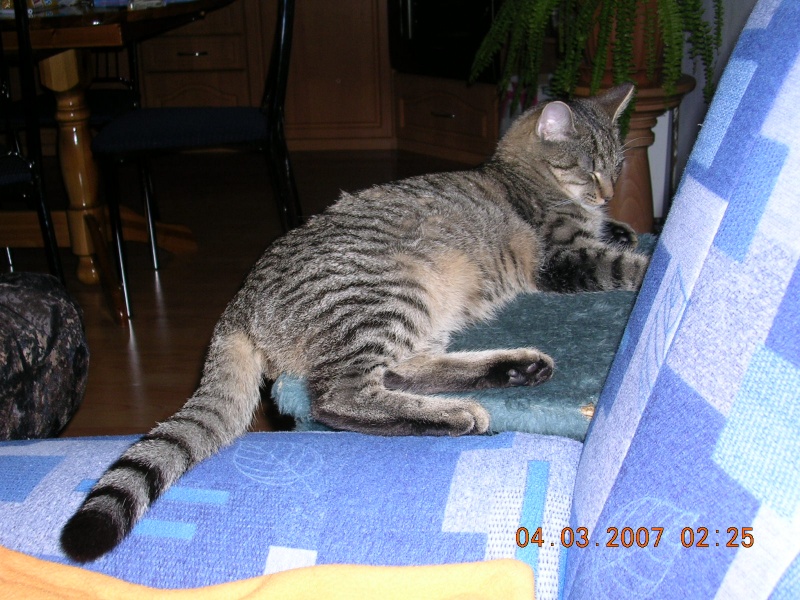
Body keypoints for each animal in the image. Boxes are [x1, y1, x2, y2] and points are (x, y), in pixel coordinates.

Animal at [61, 83, 647, 562]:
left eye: (618, 166)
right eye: (589, 166)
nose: (608, 191)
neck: (515, 173)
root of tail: (239, 303)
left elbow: (618, 237)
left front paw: (623, 227)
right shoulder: (563, 257)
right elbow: (625, 264)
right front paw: (646, 257)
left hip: (419, 315)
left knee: (403, 373)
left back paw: (515, 369)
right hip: (389, 298)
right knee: (340, 398)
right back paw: (458, 413)